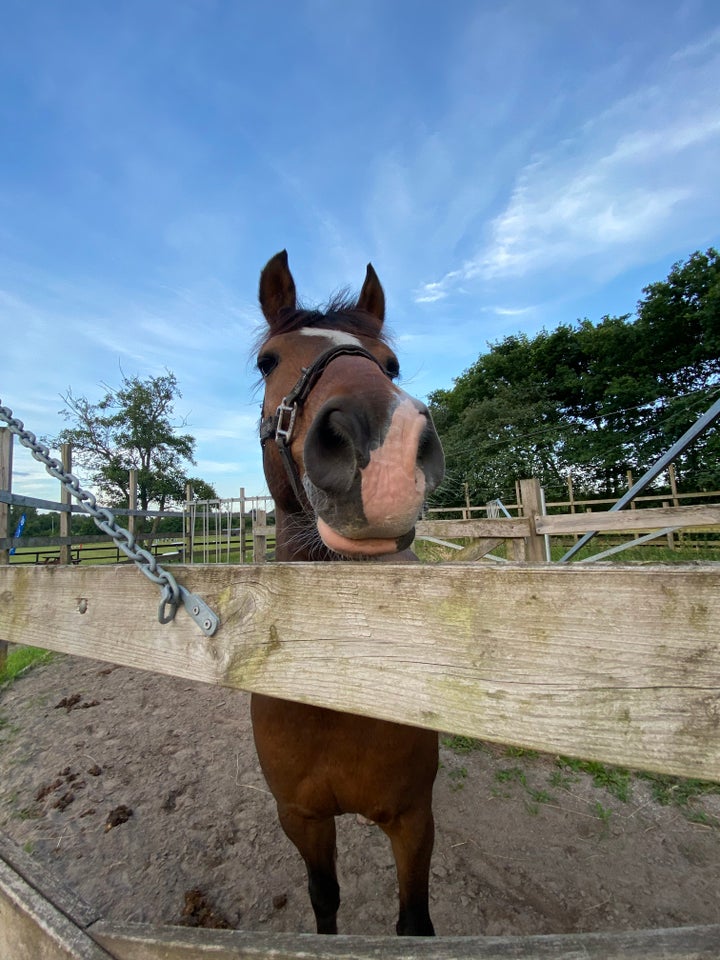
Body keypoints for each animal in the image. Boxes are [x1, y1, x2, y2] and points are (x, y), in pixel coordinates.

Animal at [252, 251, 444, 932]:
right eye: (268, 361)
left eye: (390, 364)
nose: (383, 448)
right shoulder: (301, 818)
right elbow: (324, 898)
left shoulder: (413, 819)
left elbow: (414, 924)